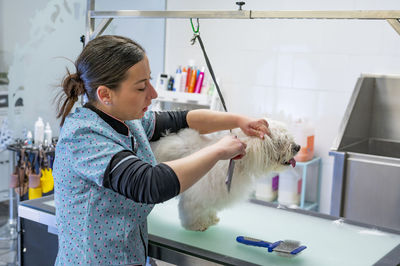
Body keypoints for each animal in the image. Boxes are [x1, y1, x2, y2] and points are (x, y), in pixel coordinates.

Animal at [151, 120, 300, 231]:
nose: (297, 147)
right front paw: (197, 225)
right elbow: (193, 211)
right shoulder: (196, 195)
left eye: (289, 137)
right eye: (280, 142)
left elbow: (208, 209)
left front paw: (211, 219)